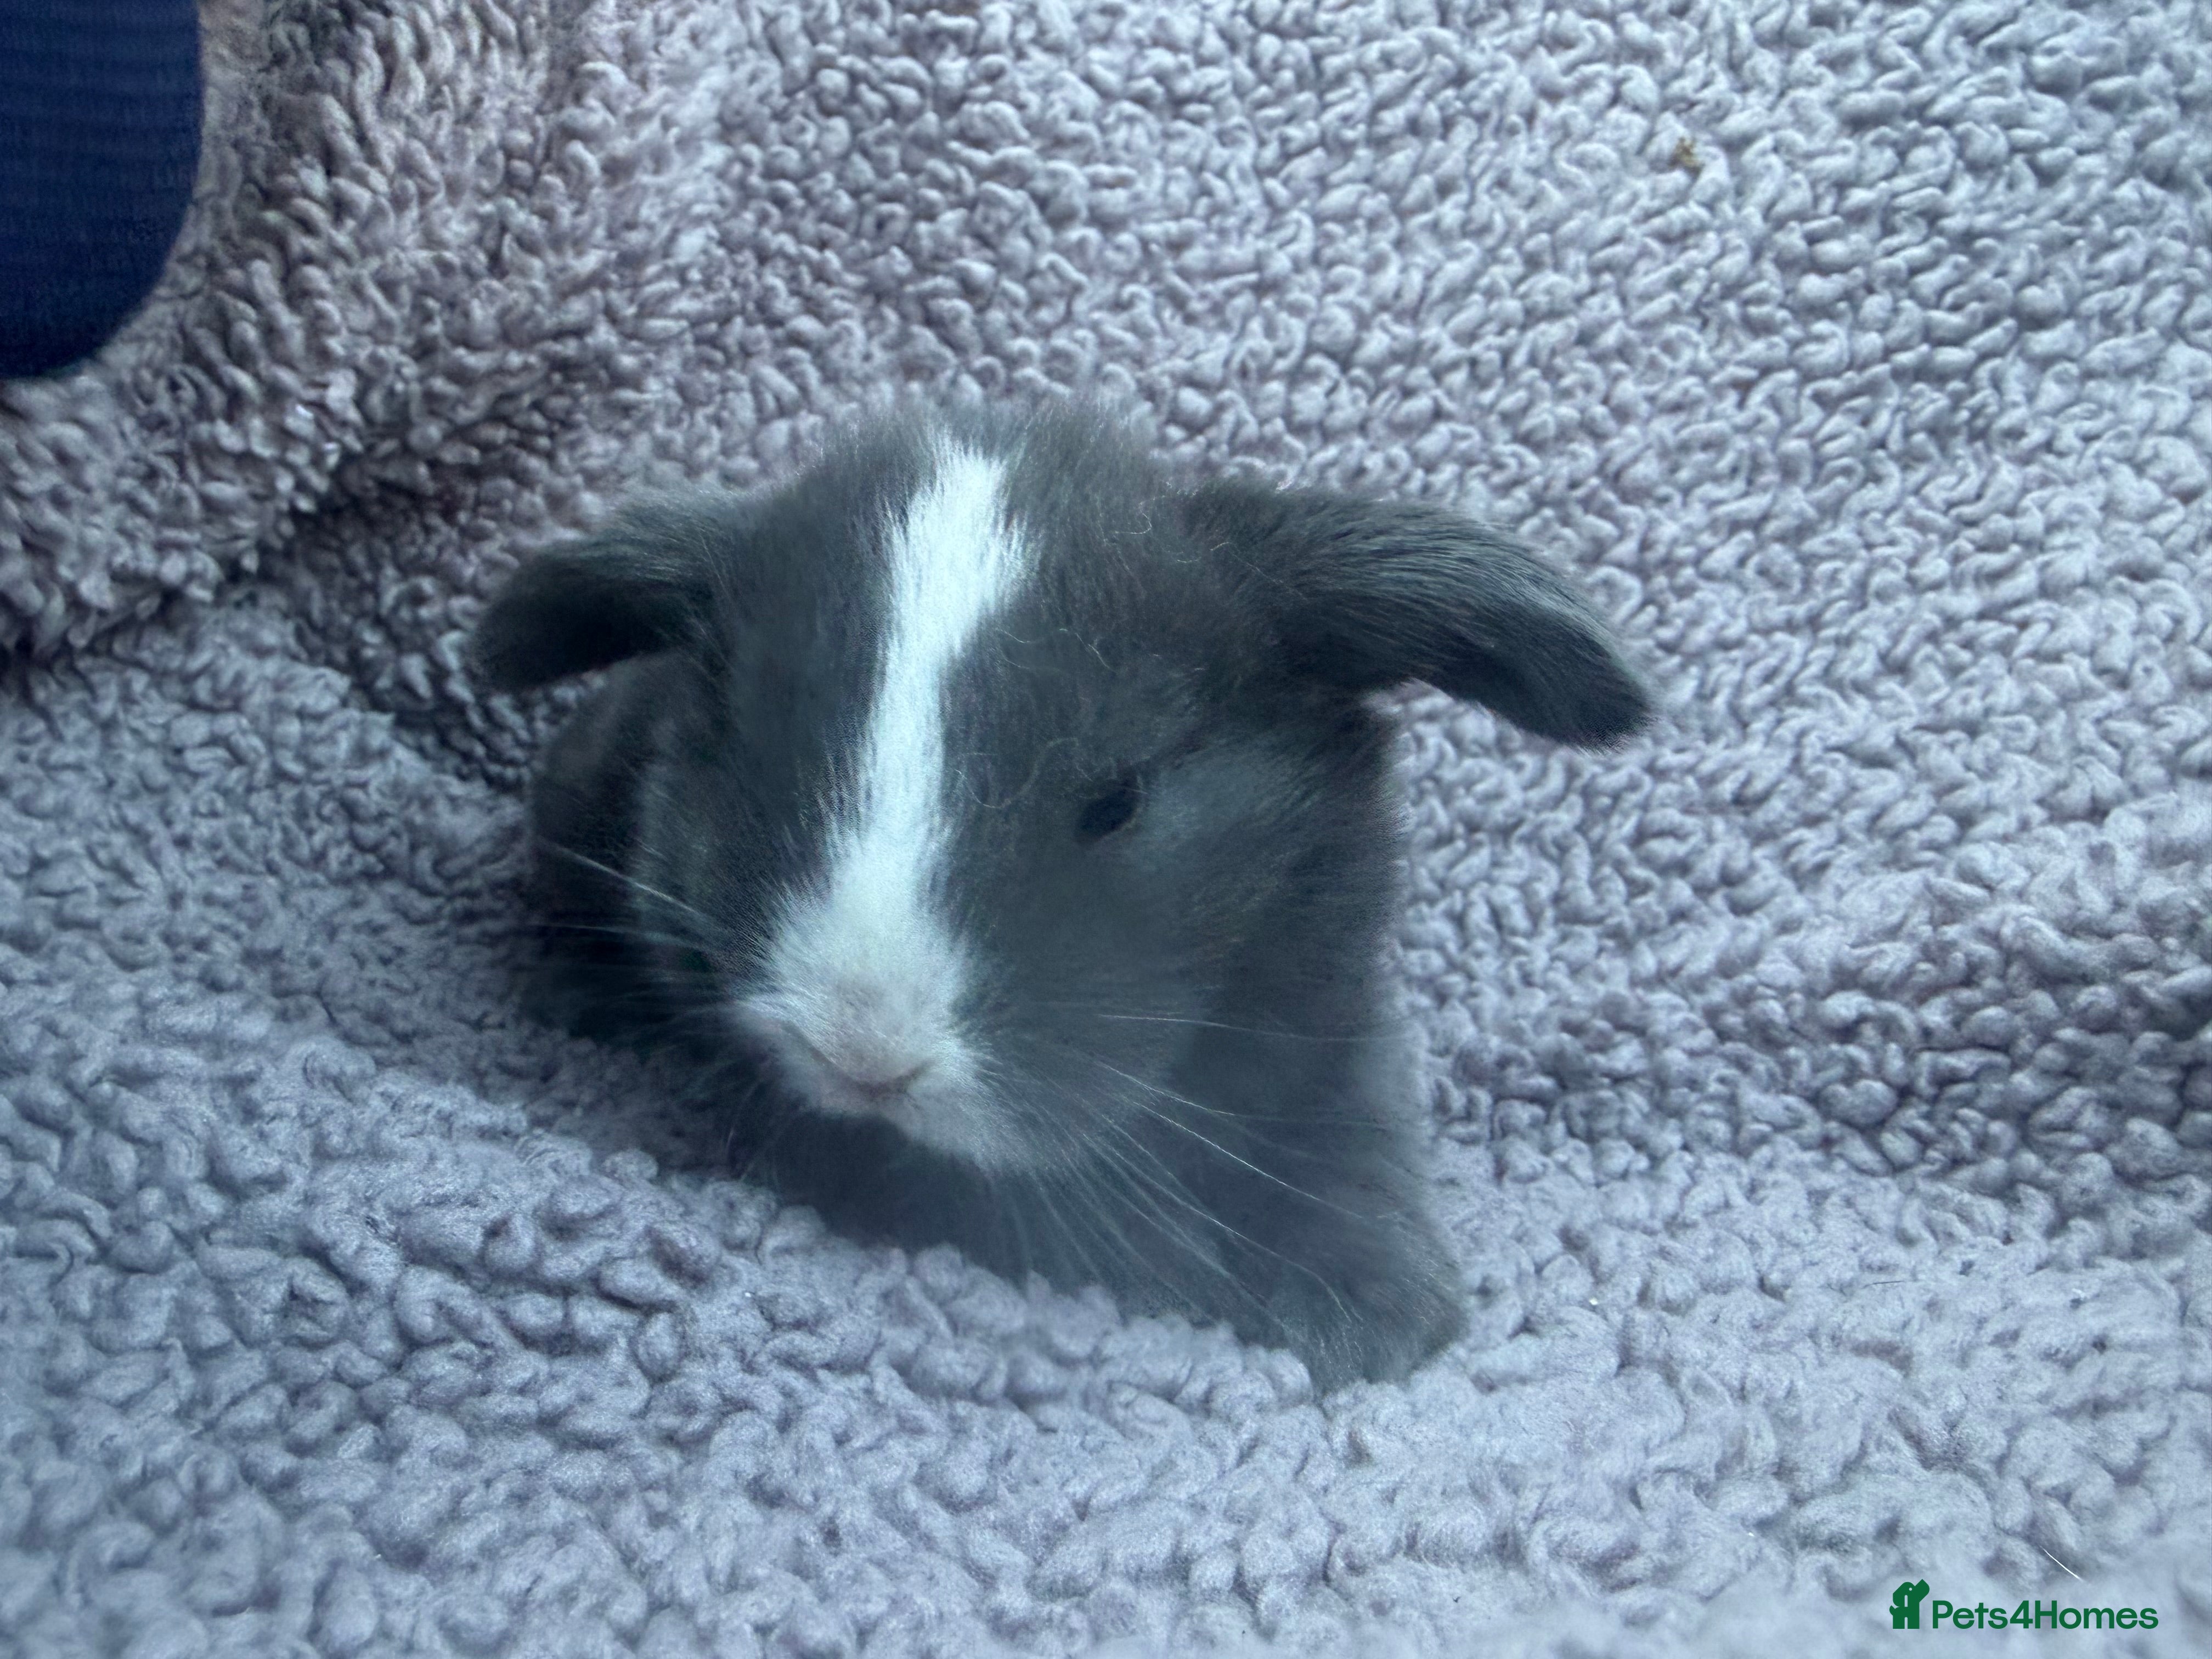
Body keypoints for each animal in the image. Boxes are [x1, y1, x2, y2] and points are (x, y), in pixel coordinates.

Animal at [470, 398, 1651, 1391]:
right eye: (753, 762)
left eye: (1117, 800)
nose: (866, 1051)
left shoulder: (1334, 1019)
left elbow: (1355, 1135)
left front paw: (1371, 1315)